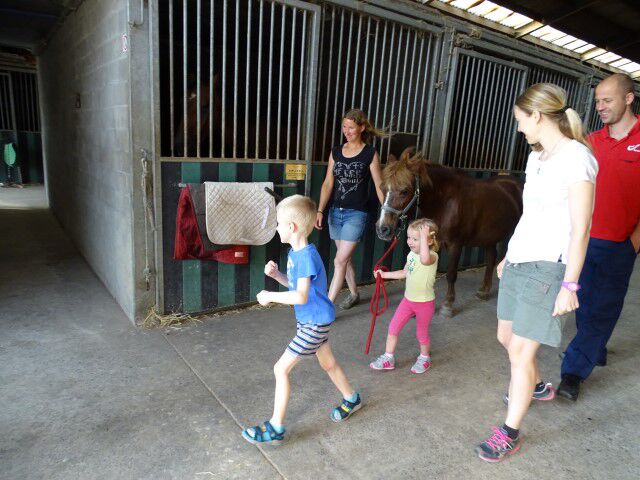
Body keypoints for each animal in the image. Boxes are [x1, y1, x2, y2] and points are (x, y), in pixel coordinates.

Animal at [376, 148, 523, 317]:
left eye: (405, 191)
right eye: (382, 188)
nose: (383, 229)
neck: (445, 202)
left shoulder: (455, 245)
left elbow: (451, 274)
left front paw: (448, 305)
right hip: (490, 236)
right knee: (492, 258)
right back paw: (484, 291)